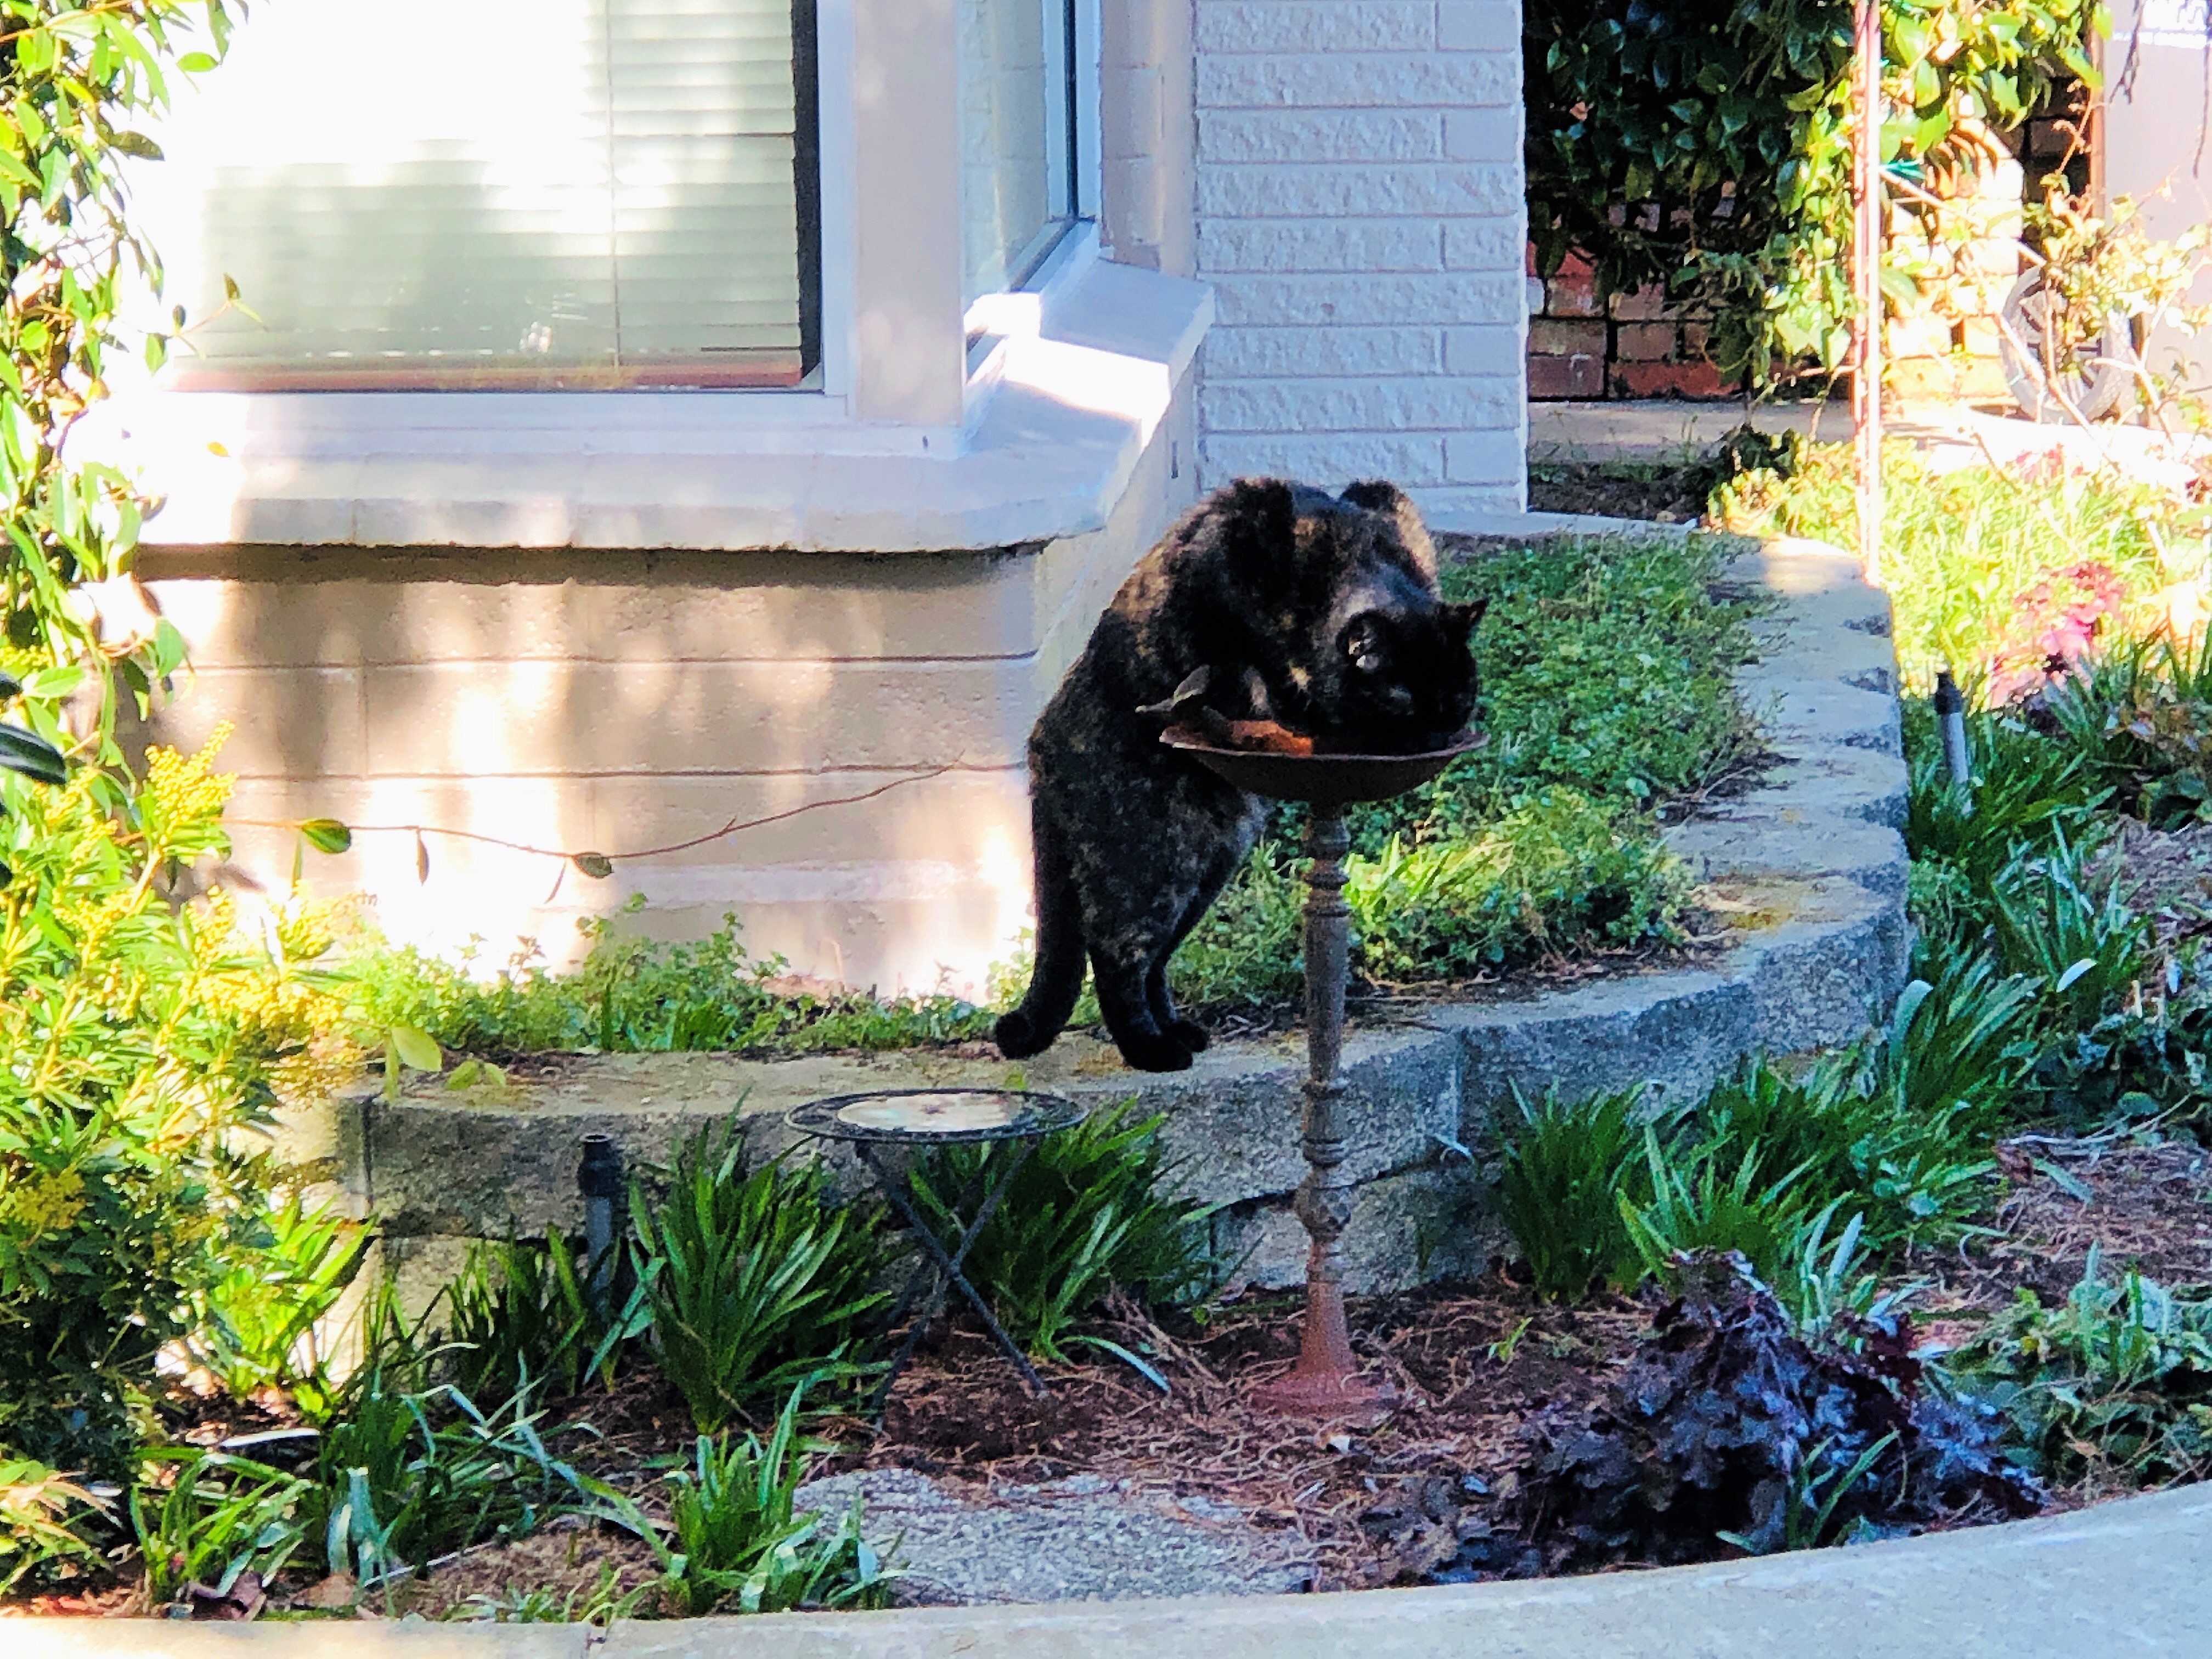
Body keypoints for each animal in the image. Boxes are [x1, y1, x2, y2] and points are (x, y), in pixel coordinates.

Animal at [991, 479, 1477, 1079]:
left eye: (1460, 698)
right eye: (1406, 706)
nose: (1440, 733)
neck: (1351, 551)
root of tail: (1040, 747)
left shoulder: (1386, 501)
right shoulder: (1222, 553)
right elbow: (1245, 651)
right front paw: (1290, 701)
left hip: (1208, 876)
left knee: (1155, 964)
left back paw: (1177, 1029)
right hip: (1150, 867)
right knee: (1118, 957)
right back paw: (1150, 1049)